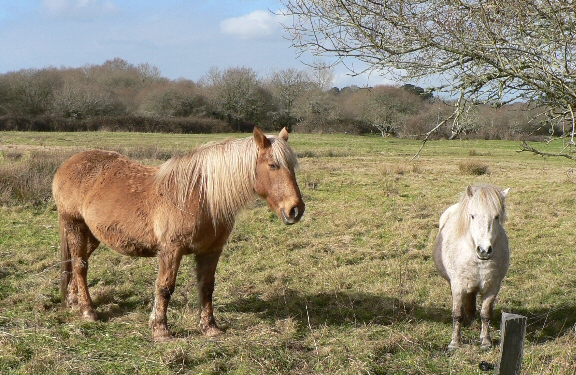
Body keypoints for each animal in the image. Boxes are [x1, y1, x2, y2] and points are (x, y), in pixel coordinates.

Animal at [53, 128, 306, 342]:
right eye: (273, 165)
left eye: (292, 167)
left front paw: (210, 327)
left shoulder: (211, 250)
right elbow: (165, 288)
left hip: (92, 235)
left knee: (75, 263)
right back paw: (88, 311)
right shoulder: (171, 251)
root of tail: (68, 164)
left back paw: (74, 302)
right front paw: (160, 330)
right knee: (80, 266)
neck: (201, 196)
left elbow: (206, 287)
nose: (295, 210)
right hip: (74, 225)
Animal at [434, 184, 510, 350]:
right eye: (472, 216)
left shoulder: (492, 288)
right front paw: (455, 343)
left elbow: (486, 314)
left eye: (496, 217)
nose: (484, 250)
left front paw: (486, 341)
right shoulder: (457, 286)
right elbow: (457, 314)